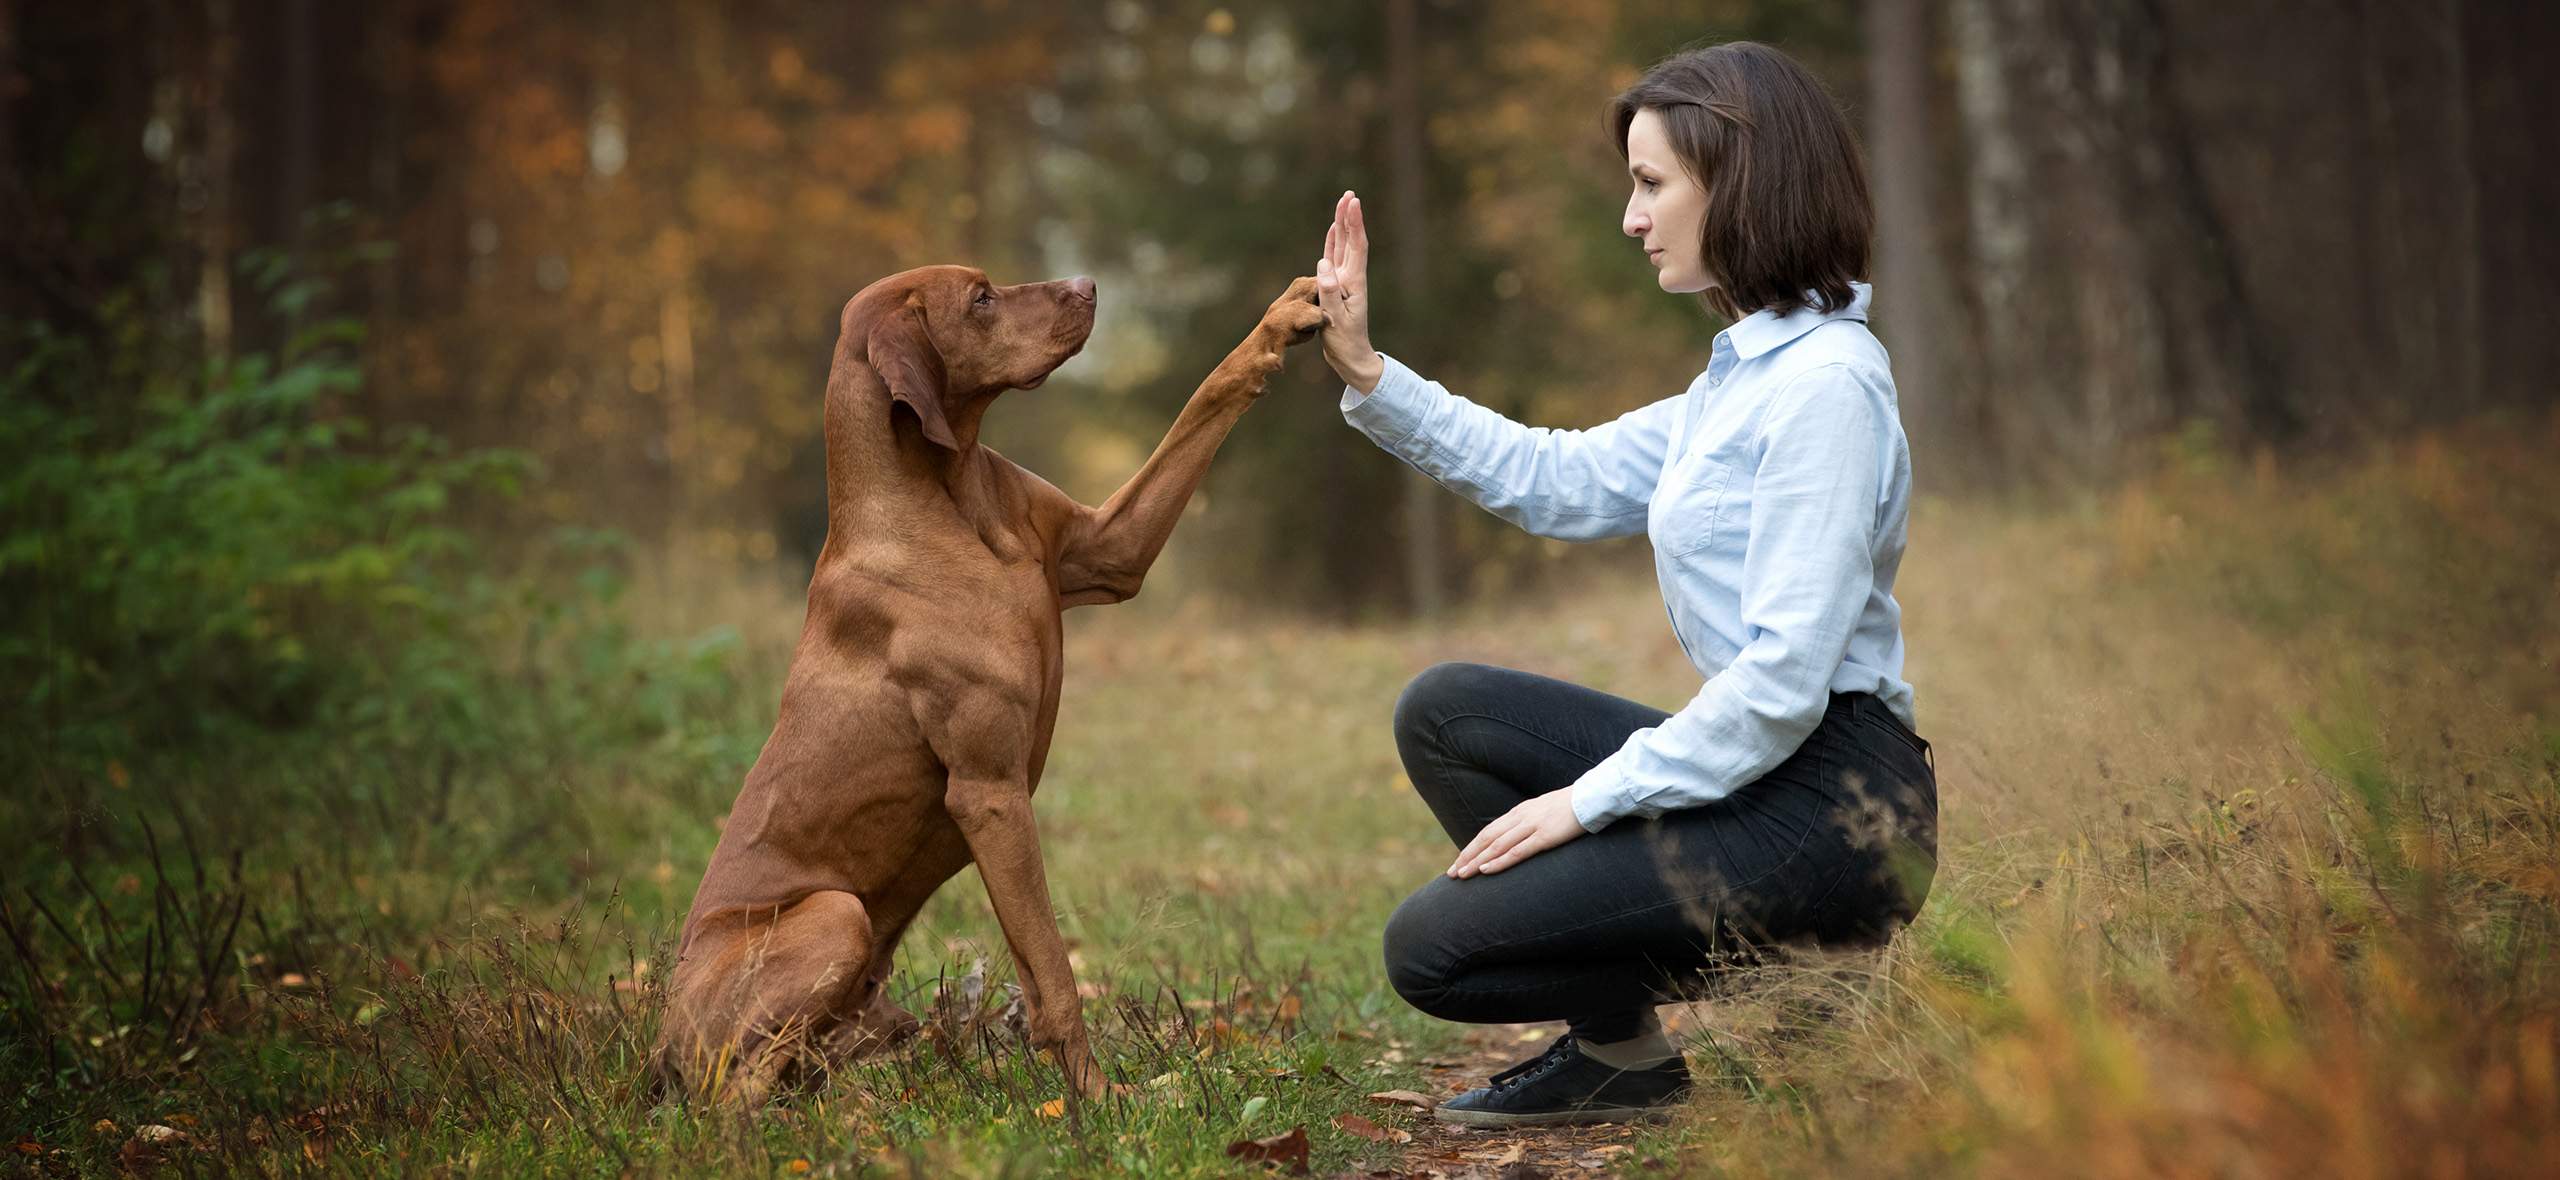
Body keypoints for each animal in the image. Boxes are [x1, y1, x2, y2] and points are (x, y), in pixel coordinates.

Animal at [650, 264, 1331, 1105]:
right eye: (979, 298)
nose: (1089, 283)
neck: (950, 503)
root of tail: (659, 1042)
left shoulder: (1112, 550)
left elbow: (1208, 394)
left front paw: (1284, 317)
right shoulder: (991, 793)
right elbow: (1059, 974)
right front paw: (1100, 1102)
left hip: (869, 996)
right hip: (835, 917)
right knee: (729, 1096)